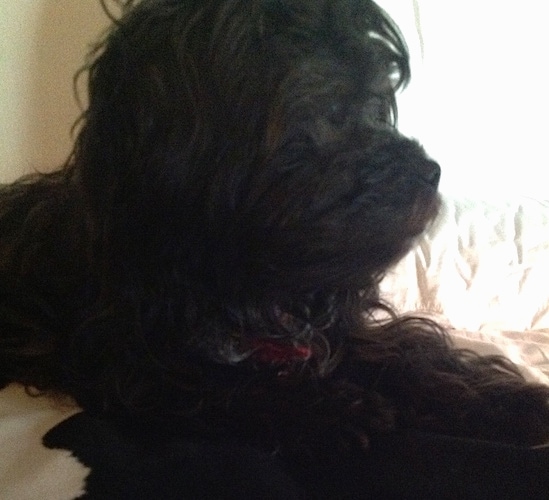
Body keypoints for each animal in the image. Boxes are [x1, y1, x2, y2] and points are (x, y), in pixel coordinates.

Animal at [1, 0, 548, 496]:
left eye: (377, 105)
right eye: (332, 112)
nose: (432, 171)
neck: (258, 286)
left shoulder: (331, 329)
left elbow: (406, 355)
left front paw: (499, 402)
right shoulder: (129, 365)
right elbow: (222, 385)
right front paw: (327, 409)